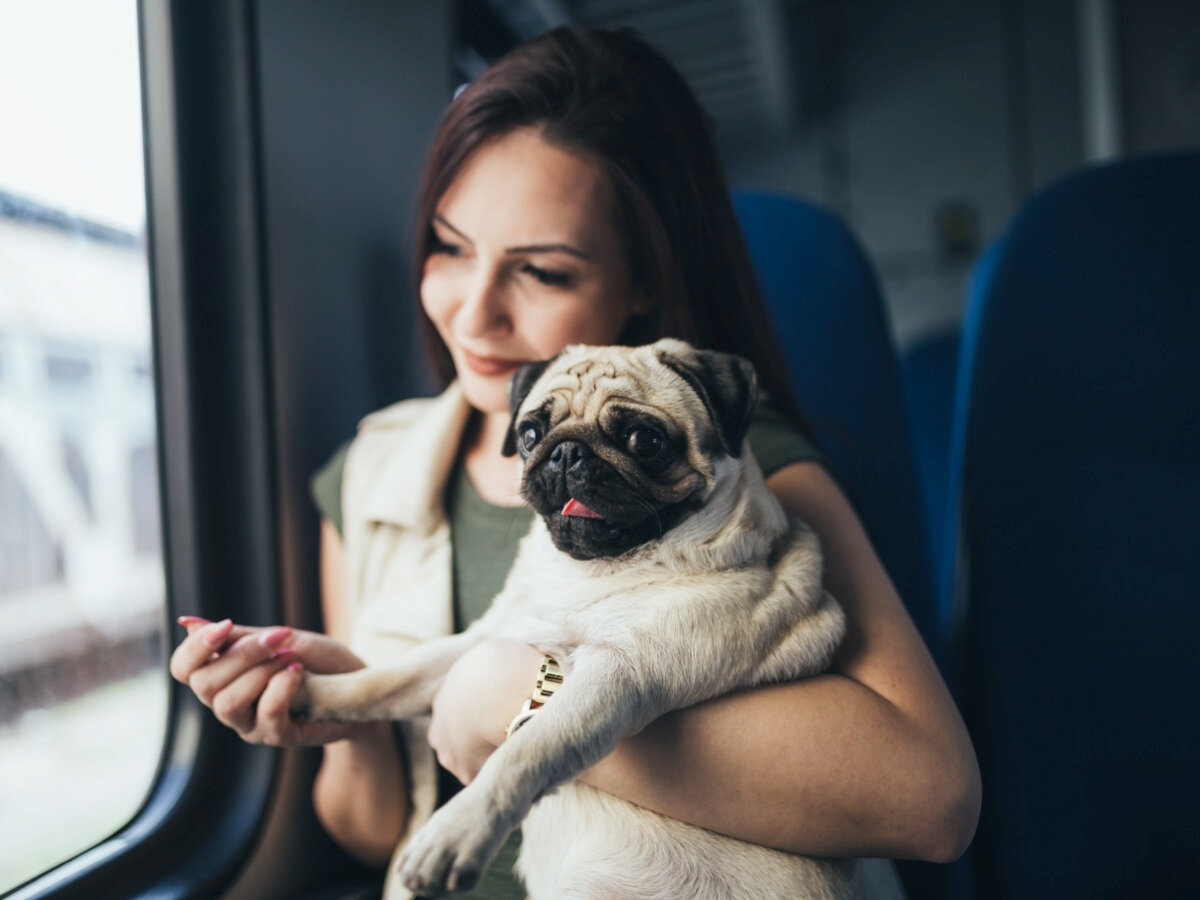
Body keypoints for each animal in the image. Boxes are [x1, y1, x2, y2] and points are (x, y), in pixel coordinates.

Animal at [300, 340, 864, 900]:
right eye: (529, 434)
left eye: (645, 441)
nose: (567, 452)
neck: (590, 574)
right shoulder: (488, 637)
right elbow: (390, 679)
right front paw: (312, 693)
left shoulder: (618, 677)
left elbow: (527, 751)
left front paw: (458, 830)